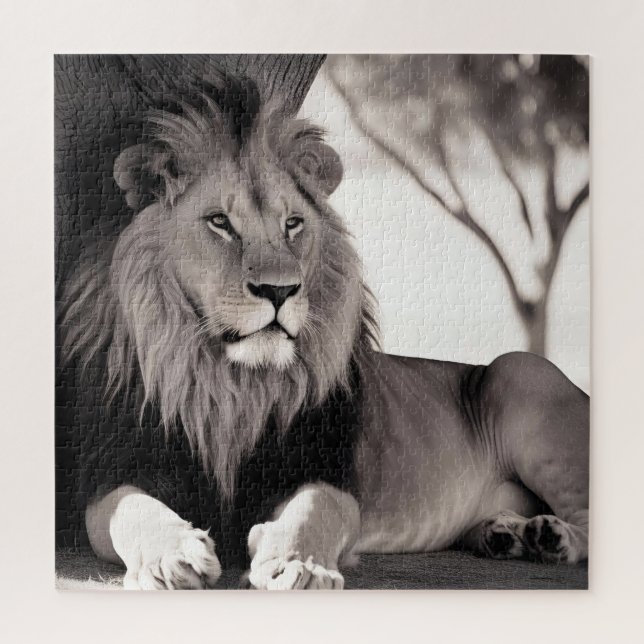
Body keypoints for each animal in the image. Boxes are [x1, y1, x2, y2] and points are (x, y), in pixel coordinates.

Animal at [58, 72, 589, 590]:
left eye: (293, 224)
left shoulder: (325, 469)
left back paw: (551, 537)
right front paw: (172, 558)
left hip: (519, 370)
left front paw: (299, 565)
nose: (279, 290)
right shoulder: (113, 471)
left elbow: (314, 511)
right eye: (219, 222)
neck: (232, 386)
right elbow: (132, 510)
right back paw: (506, 533)